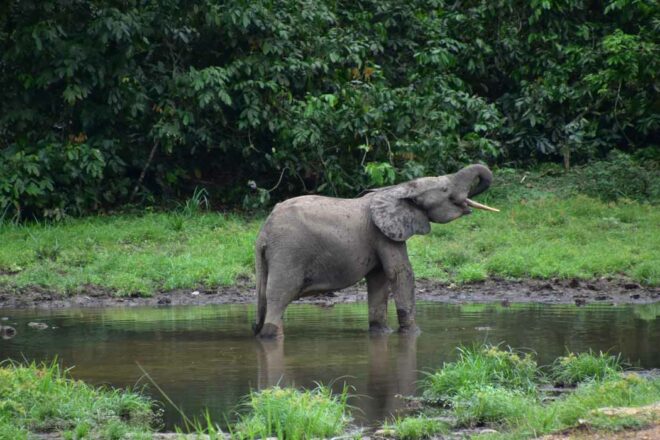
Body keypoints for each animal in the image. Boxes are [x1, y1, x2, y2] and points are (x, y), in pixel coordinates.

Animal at [253, 164, 498, 338]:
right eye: (445, 190)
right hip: (288, 251)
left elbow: (379, 279)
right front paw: (413, 334)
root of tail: (263, 233)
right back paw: (271, 336)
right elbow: (400, 273)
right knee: (281, 294)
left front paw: (382, 333)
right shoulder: (383, 234)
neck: (400, 188)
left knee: (265, 296)